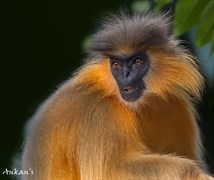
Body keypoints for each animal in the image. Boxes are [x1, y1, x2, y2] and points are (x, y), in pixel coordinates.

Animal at [19, 11, 213, 180]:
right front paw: (193, 172)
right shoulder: (100, 111)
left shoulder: (175, 103)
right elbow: (110, 171)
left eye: (137, 62)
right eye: (116, 65)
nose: (125, 75)